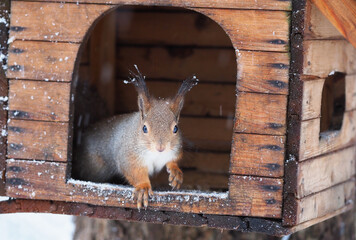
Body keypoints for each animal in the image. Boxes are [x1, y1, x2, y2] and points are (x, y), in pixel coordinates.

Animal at [73, 65, 199, 208]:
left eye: (176, 128)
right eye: (144, 128)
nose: (160, 148)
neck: (155, 154)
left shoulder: (174, 150)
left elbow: (173, 160)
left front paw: (175, 172)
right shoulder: (129, 156)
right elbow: (134, 172)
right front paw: (143, 188)